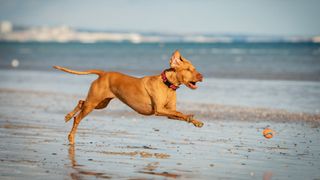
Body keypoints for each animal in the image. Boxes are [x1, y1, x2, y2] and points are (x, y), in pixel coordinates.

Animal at [52, 50, 202, 144]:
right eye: (188, 70)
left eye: (194, 69)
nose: (202, 76)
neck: (167, 85)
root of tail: (103, 73)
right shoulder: (159, 110)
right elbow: (180, 112)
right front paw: (190, 117)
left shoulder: (169, 112)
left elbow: (178, 113)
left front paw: (195, 121)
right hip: (93, 103)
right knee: (78, 118)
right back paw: (71, 136)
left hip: (100, 103)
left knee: (81, 101)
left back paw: (68, 116)